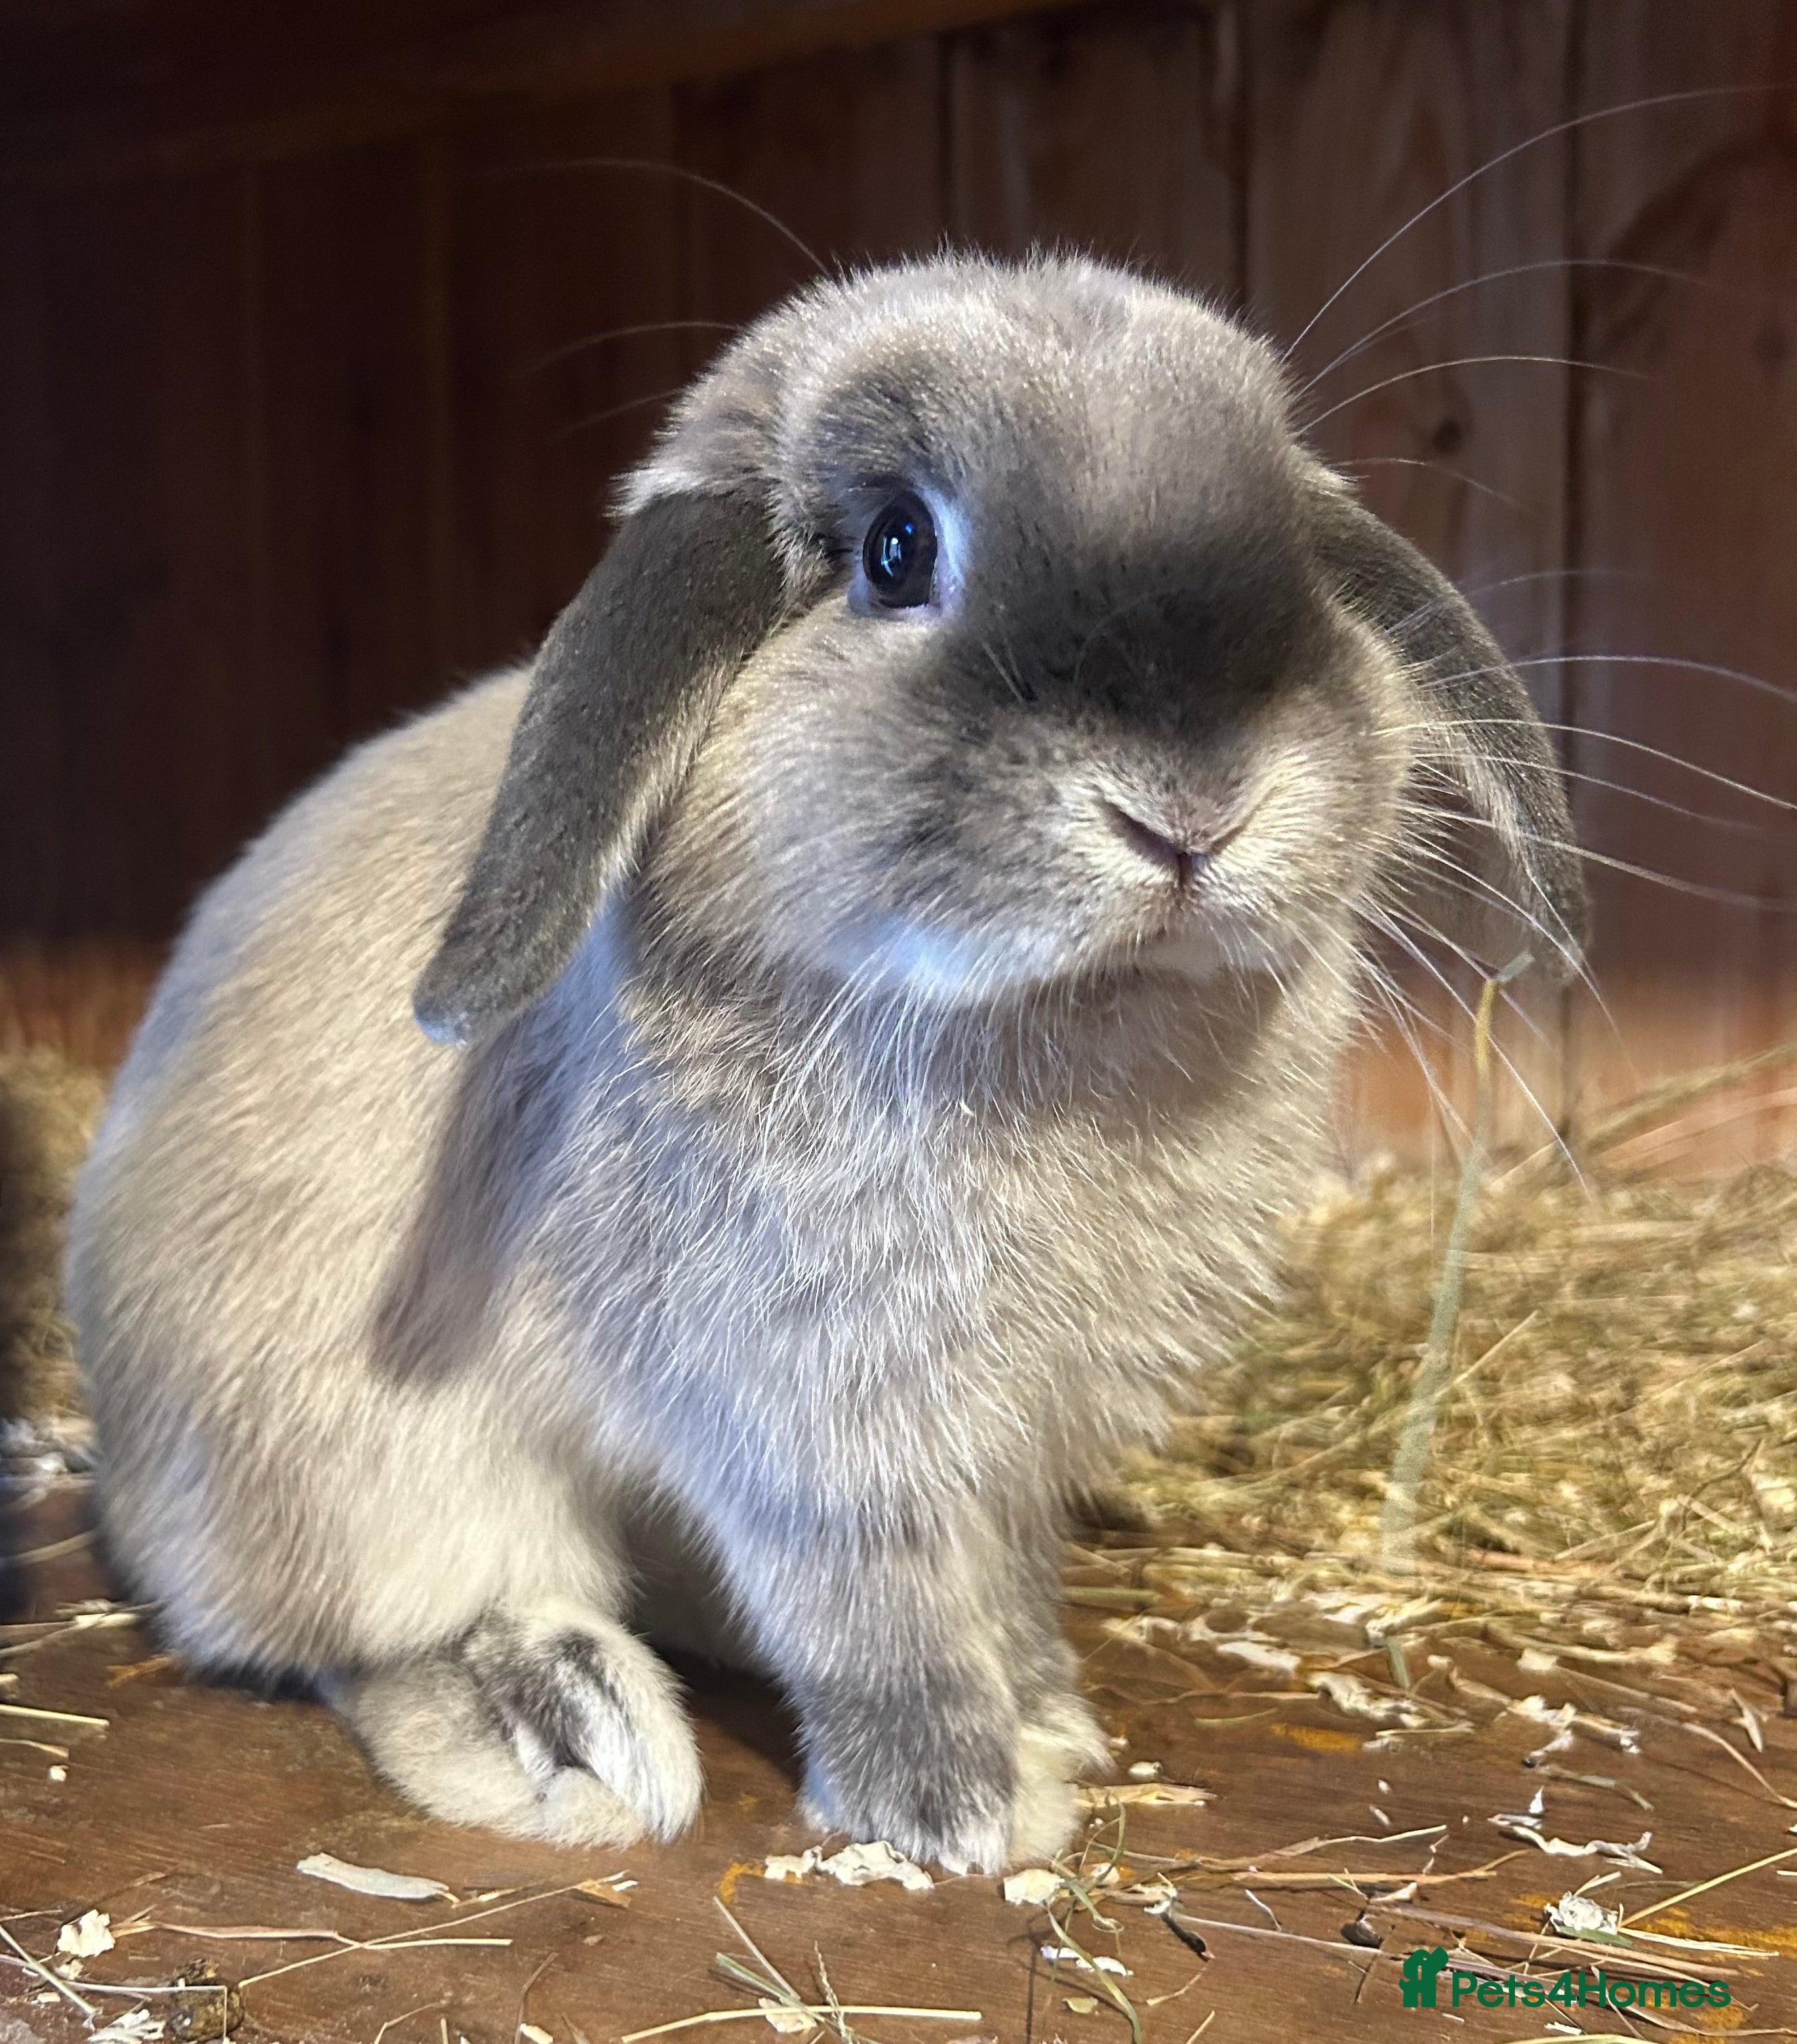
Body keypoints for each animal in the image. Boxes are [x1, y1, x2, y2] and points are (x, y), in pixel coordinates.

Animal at [64, 252, 1585, 1870]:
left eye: (1289, 546)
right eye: (896, 549)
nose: (1192, 809)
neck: (1054, 1024)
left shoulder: (1014, 1449)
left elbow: (1002, 1585)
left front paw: (1050, 1717)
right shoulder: (814, 1433)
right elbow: (877, 1613)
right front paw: (962, 1807)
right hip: (354, 1476)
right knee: (357, 1631)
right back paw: (562, 1722)